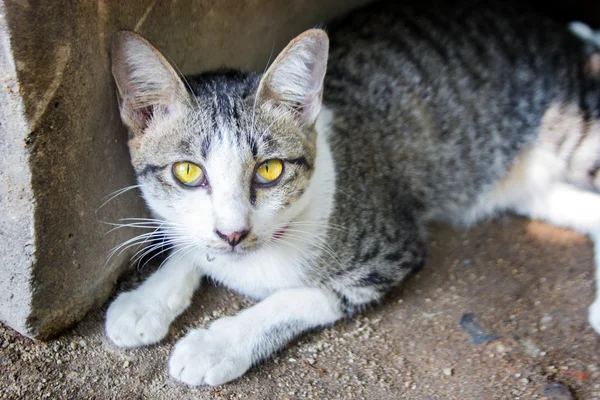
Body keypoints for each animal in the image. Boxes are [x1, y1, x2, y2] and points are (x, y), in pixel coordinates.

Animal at [105, 0, 600, 388]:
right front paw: (147, 300)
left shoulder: (390, 250)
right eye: (188, 172)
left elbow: (299, 297)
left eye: (269, 170)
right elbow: (189, 243)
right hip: (522, 180)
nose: (233, 234)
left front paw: (219, 343)